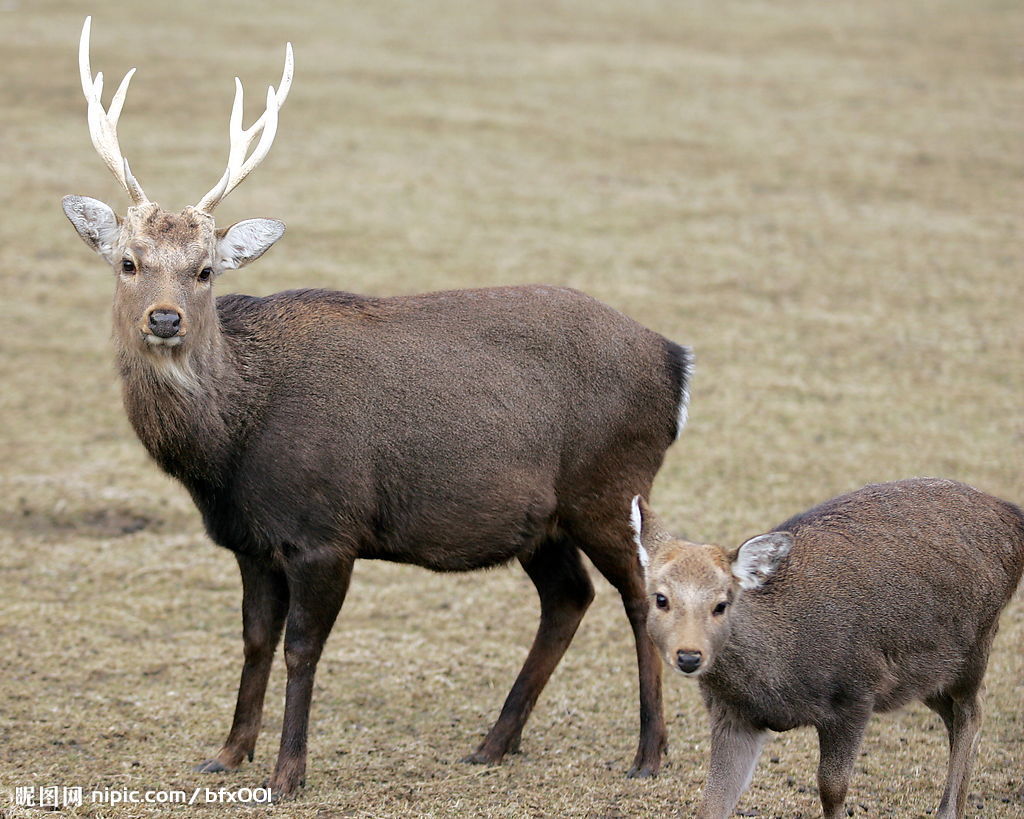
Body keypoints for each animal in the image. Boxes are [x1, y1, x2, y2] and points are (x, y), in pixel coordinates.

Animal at [59, 20, 692, 798]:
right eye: (129, 262)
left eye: (205, 270)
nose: (166, 318)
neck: (228, 449)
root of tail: (675, 363)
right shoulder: (249, 540)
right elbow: (254, 639)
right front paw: (228, 753)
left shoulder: (326, 530)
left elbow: (302, 649)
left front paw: (288, 773)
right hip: (542, 520)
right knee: (568, 597)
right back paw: (492, 744)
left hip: (611, 486)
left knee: (640, 595)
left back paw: (649, 753)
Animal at [630, 479, 1024, 818]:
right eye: (660, 598)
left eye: (721, 604)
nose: (689, 655)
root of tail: (1013, 516)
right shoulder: (732, 714)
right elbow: (713, 800)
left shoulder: (855, 694)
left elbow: (832, 787)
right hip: (925, 674)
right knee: (954, 716)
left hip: (976, 641)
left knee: (972, 710)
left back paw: (947, 810)